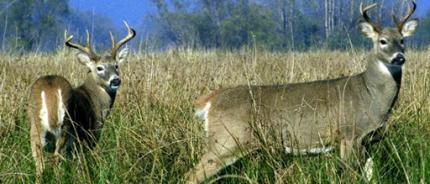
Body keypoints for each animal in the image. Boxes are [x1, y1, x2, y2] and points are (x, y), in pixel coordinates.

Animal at [27, 21, 135, 183]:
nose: (116, 80)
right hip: (66, 126)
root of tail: (49, 87)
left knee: (39, 165)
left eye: (116, 65)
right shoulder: (90, 135)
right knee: (56, 160)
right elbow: (81, 165)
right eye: (99, 68)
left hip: (36, 128)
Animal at [184, 1, 416, 183]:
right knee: (191, 175)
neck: (369, 95)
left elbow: (370, 176)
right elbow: (349, 175)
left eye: (402, 40)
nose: (399, 57)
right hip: (226, 140)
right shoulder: (348, 134)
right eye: (382, 41)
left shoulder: (369, 140)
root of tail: (210, 100)